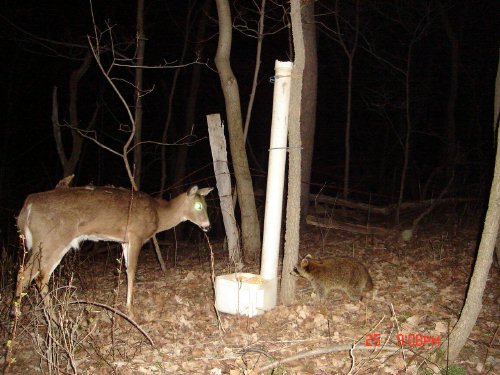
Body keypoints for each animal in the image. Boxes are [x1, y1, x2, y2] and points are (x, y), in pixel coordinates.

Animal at [15, 184, 213, 312]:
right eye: (198, 206)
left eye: (206, 205)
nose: (208, 226)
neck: (159, 212)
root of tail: (26, 207)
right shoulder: (136, 234)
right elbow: (132, 270)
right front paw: (129, 308)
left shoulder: (125, 241)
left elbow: (125, 269)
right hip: (51, 239)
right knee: (32, 275)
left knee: (34, 275)